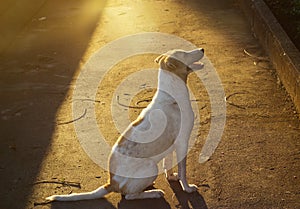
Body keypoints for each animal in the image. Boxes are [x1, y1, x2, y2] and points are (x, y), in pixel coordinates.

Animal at [46, 48, 204, 202]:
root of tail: (111, 183)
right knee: (129, 196)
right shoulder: (182, 142)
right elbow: (183, 171)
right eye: (184, 53)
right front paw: (187, 188)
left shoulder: (172, 143)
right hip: (151, 167)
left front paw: (171, 177)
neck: (172, 97)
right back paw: (153, 193)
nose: (202, 49)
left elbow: (168, 163)